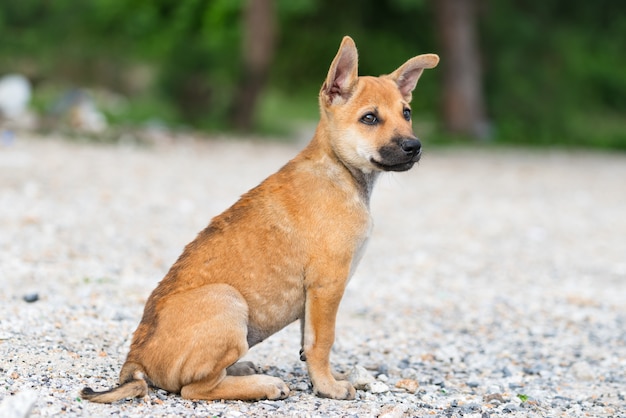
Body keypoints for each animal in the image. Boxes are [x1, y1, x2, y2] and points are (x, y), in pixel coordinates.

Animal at [79, 36, 438, 404]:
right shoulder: (327, 285)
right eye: (369, 118)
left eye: (406, 113)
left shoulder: (314, 297)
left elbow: (308, 343)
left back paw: (243, 369)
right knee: (195, 388)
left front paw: (326, 378)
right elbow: (323, 341)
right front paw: (329, 387)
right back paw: (264, 384)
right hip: (228, 300)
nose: (414, 146)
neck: (338, 169)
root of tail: (135, 364)